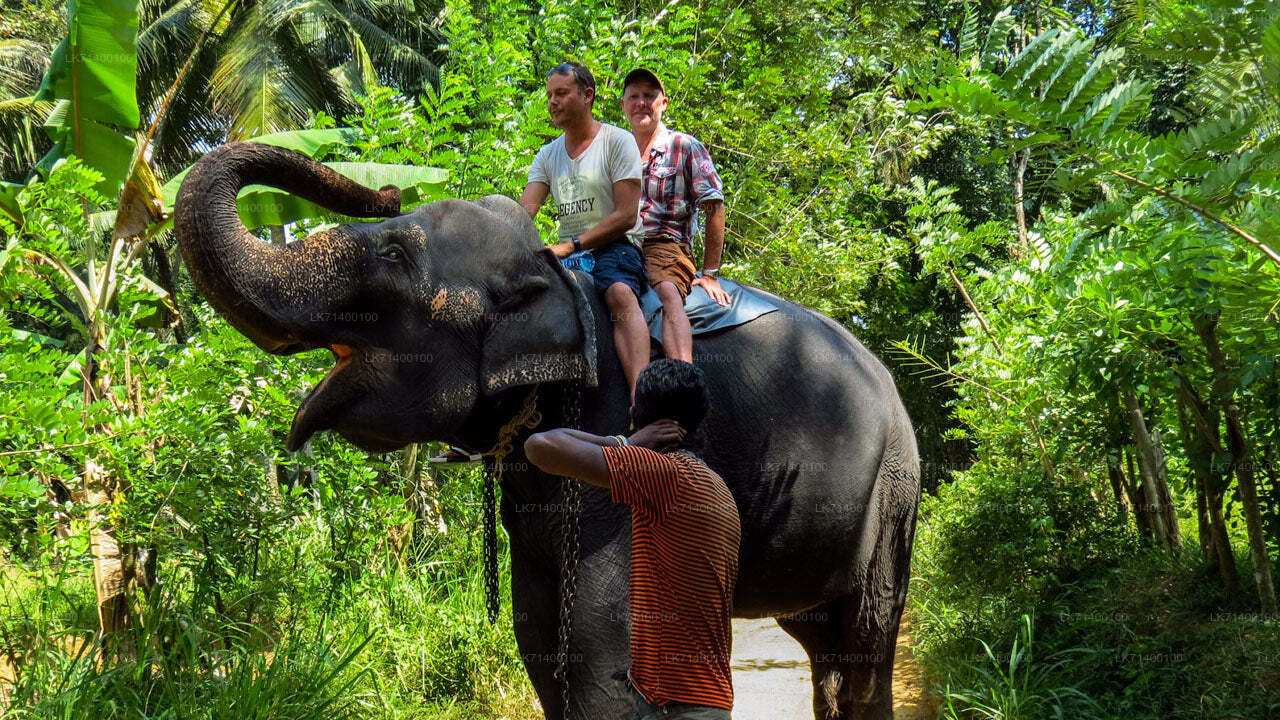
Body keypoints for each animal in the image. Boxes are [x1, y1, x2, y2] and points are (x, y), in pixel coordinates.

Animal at [174, 142, 921, 720]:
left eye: (391, 255)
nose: (385, 191)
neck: (557, 278)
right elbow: (536, 627)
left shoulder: (615, 433)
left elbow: (596, 637)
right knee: (823, 637)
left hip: (895, 490)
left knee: (867, 632)